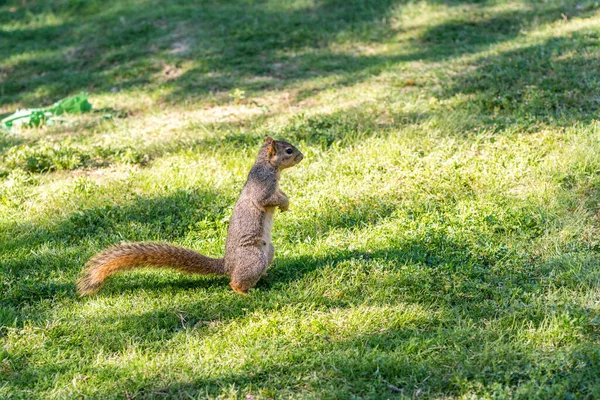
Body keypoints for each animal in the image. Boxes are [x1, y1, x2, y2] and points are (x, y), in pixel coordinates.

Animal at [78, 136, 304, 296]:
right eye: (289, 150)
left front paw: (286, 203)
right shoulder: (263, 187)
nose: (302, 156)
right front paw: (284, 204)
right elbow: (269, 199)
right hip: (253, 257)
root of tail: (227, 265)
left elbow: (281, 194)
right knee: (234, 282)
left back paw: (266, 277)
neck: (268, 166)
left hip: (268, 251)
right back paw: (244, 292)